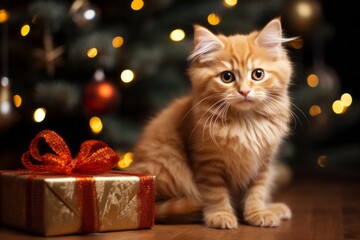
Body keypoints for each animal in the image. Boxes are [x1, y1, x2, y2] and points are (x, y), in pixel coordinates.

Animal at [129, 18, 296, 229]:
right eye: (227, 77)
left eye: (258, 74)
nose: (244, 91)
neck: (245, 122)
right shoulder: (207, 163)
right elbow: (215, 194)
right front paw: (221, 215)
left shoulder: (263, 163)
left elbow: (256, 192)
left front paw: (257, 213)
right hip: (168, 165)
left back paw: (274, 208)